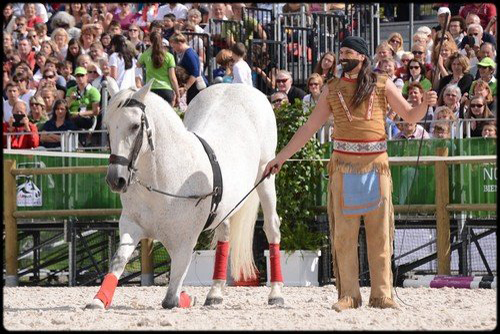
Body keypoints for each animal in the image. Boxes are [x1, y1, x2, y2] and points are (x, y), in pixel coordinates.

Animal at [86, 81, 286, 310]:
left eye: (135, 126)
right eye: (108, 126)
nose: (115, 179)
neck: (164, 180)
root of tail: (237, 86)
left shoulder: (184, 243)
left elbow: (170, 299)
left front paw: (187, 297)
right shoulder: (131, 225)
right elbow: (118, 261)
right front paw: (99, 299)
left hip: (266, 176)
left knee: (271, 228)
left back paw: (276, 293)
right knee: (224, 234)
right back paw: (215, 293)